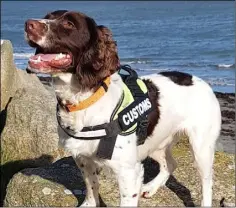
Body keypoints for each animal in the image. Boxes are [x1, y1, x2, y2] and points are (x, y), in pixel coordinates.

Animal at [24, 9, 222, 206]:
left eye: (69, 24)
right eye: (47, 17)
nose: (28, 24)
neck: (85, 100)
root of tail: (200, 80)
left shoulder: (128, 172)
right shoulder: (83, 159)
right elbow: (91, 185)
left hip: (201, 148)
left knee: (207, 182)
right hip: (155, 142)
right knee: (171, 163)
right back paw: (151, 187)